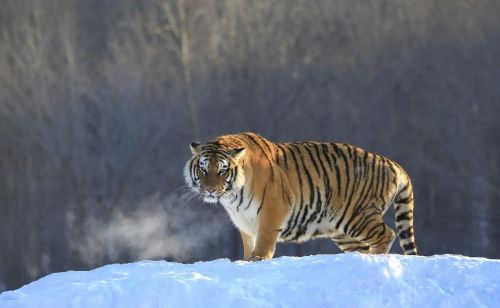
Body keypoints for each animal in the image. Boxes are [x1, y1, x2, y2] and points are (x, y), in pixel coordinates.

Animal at [185, 132, 418, 260]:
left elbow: (263, 245)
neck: (232, 196)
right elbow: (248, 246)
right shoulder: (244, 220)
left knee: (387, 234)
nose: (210, 189)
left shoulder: (273, 209)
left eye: (222, 170)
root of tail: (393, 164)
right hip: (342, 230)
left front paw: (257, 260)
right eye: (203, 169)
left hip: (357, 216)